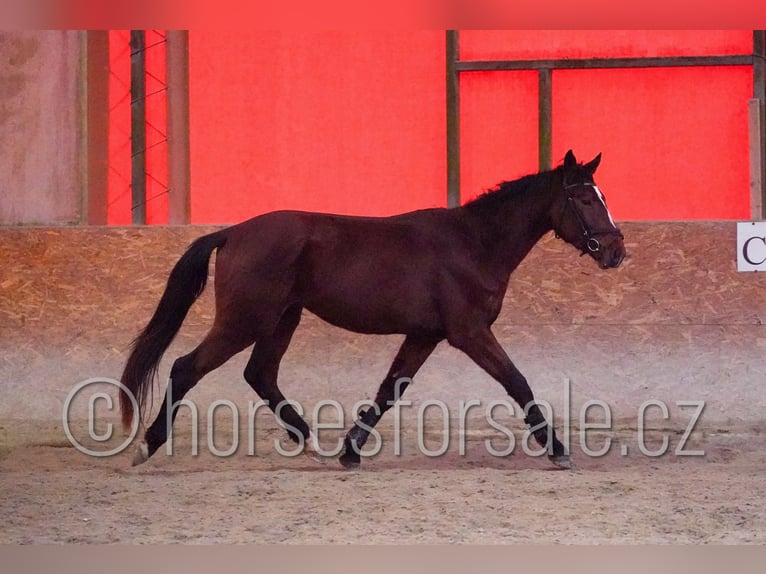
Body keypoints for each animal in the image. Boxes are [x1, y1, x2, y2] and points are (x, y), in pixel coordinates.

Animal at [120, 150, 625, 470]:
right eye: (584, 198)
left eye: (602, 196)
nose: (616, 252)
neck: (473, 243)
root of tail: (233, 232)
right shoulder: (469, 332)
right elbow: (518, 382)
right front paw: (557, 449)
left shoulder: (424, 335)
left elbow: (388, 390)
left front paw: (350, 451)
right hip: (244, 321)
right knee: (186, 368)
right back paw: (147, 446)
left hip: (282, 319)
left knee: (260, 374)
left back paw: (311, 442)